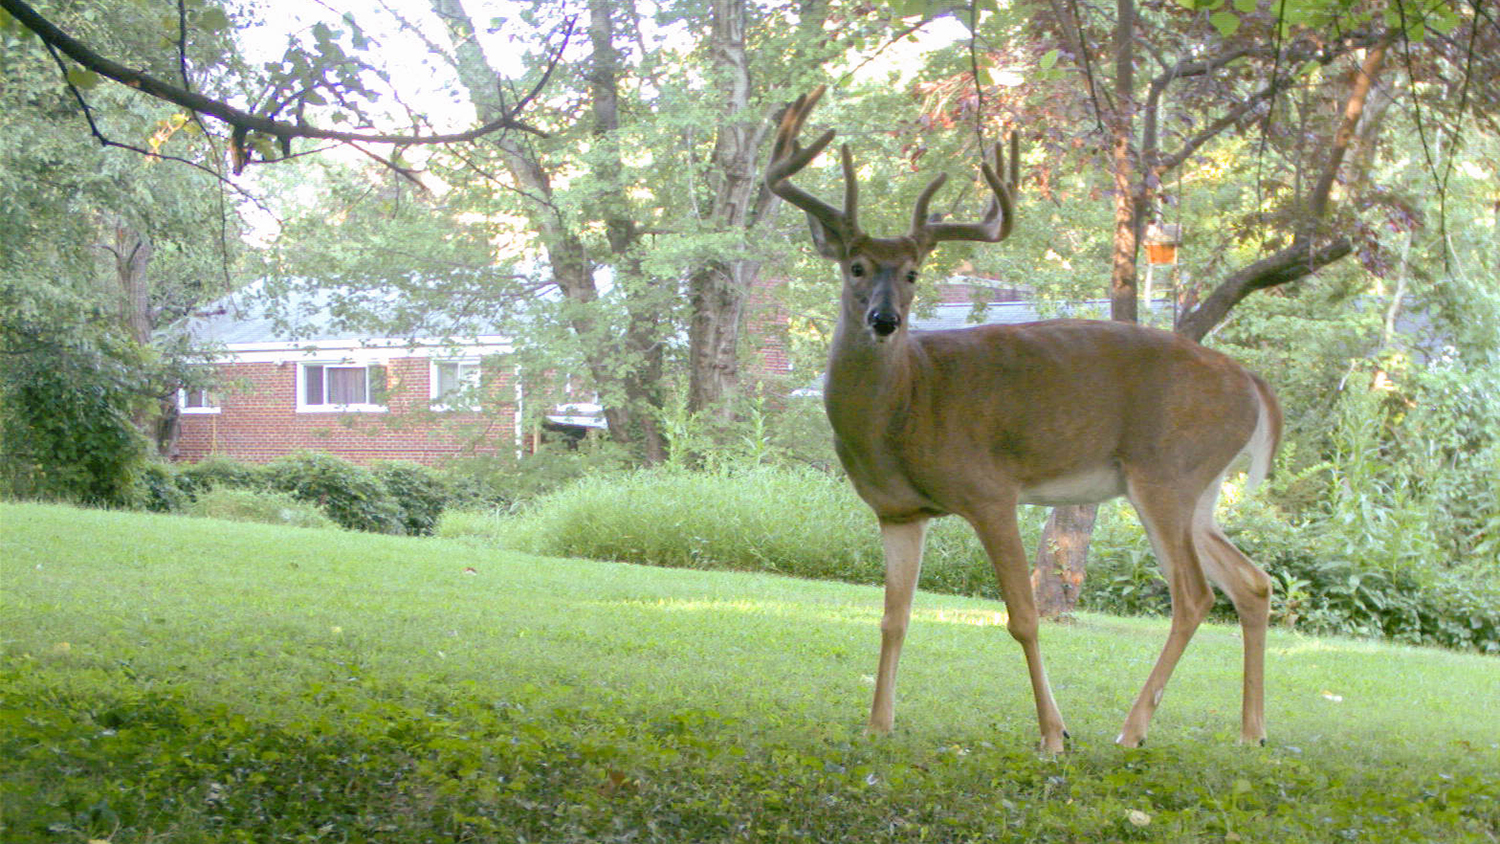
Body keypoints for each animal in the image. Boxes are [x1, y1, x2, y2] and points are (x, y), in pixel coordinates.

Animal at [765, 86, 1281, 753]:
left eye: (913, 273)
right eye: (855, 266)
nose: (885, 320)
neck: (905, 406)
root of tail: (1253, 384)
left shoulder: (990, 490)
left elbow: (1024, 618)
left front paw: (1054, 735)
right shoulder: (898, 511)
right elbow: (892, 618)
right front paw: (878, 724)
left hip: (1167, 472)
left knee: (1194, 595)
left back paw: (1132, 729)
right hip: (1202, 488)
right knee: (1252, 582)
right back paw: (1251, 732)